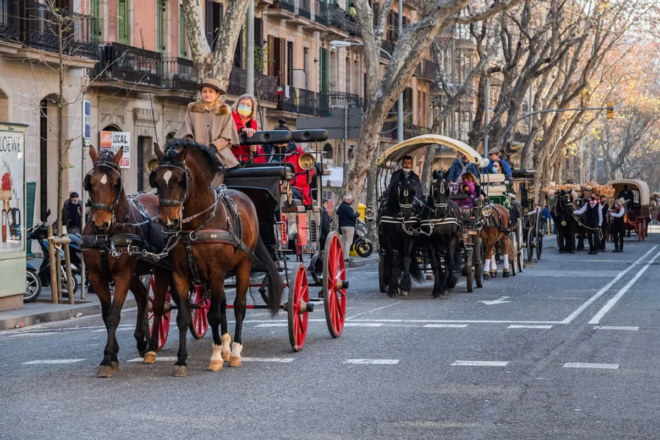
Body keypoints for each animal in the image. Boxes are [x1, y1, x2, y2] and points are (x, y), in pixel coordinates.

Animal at [82, 145, 171, 378]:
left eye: (116, 183)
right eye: (90, 182)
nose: (100, 224)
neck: (107, 236)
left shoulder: (122, 275)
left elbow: (114, 315)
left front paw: (107, 358)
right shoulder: (97, 277)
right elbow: (106, 315)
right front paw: (113, 356)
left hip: (161, 269)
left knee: (158, 305)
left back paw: (151, 347)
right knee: (142, 297)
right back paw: (141, 341)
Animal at [151, 139, 282, 376]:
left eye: (179, 180)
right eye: (156, 180)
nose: (168, 221)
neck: (196, 225)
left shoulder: (217, 271)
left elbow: (213, 315)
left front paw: (216, 358)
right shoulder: (180, 274)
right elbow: (184, 317)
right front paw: (181, 360)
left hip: (243, 266)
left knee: (238, 306)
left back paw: (235, 352)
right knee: (222, 305)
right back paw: (226, 346)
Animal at [378, 170, 420, 298]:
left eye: (414, 191)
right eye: (400, 191)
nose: (407, 214)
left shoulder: (409, 237)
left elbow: (406, 259)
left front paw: (405, 285)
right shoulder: (387, 239)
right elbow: (392, 261)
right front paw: (392, 287)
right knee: (388, 260)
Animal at [420, 170, 462, 298]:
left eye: (448, 188)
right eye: (435, 188)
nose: (442, 212)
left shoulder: (451, 238)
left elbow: (450, 262)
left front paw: (449, 283)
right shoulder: (430, 241)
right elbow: (435, 264)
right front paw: (437, 289)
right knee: (440, 262)